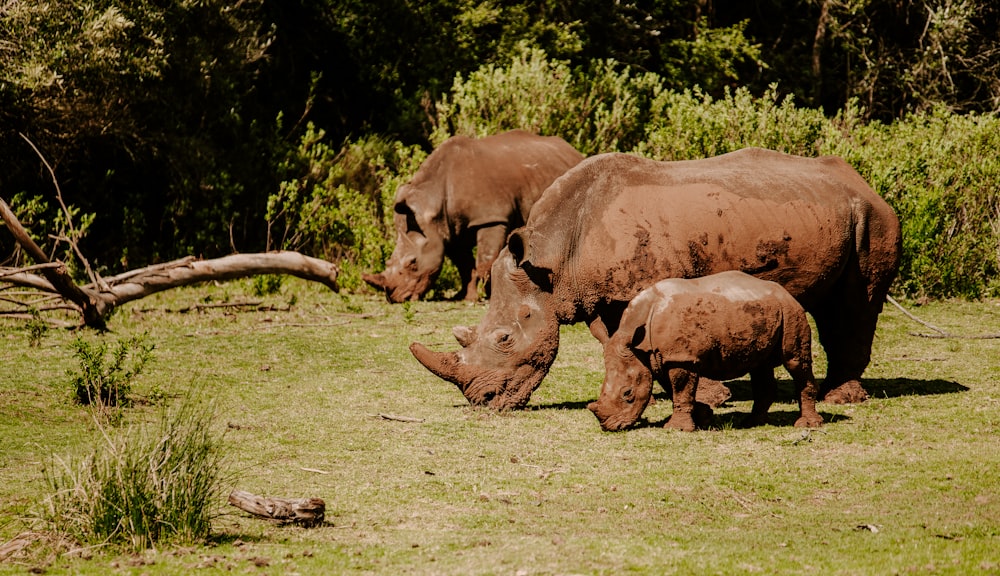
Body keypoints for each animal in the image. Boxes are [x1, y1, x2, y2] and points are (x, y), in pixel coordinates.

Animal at [584, 272, 820, 430]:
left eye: (628, 393)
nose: (609, 426)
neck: (639, 345)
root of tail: (784, 291)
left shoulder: (680, 358)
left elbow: (680, 390)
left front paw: (677, 429)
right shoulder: (663, 358)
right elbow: (675, 389)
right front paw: (704, 417)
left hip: (791, 312)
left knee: (795, 361)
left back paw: (807, 424)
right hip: (764, 312)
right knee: (760, 366)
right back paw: (752, 423)